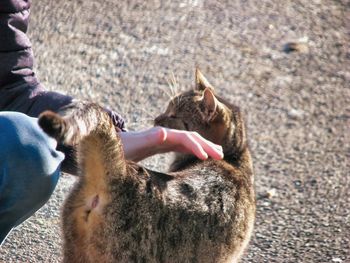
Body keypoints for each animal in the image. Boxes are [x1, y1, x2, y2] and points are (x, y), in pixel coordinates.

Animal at [38, 69, 256, 263]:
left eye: (174, 115)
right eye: (169, 108)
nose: (157, 118)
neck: (233, 158)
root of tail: (121, 171)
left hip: (74, 247)